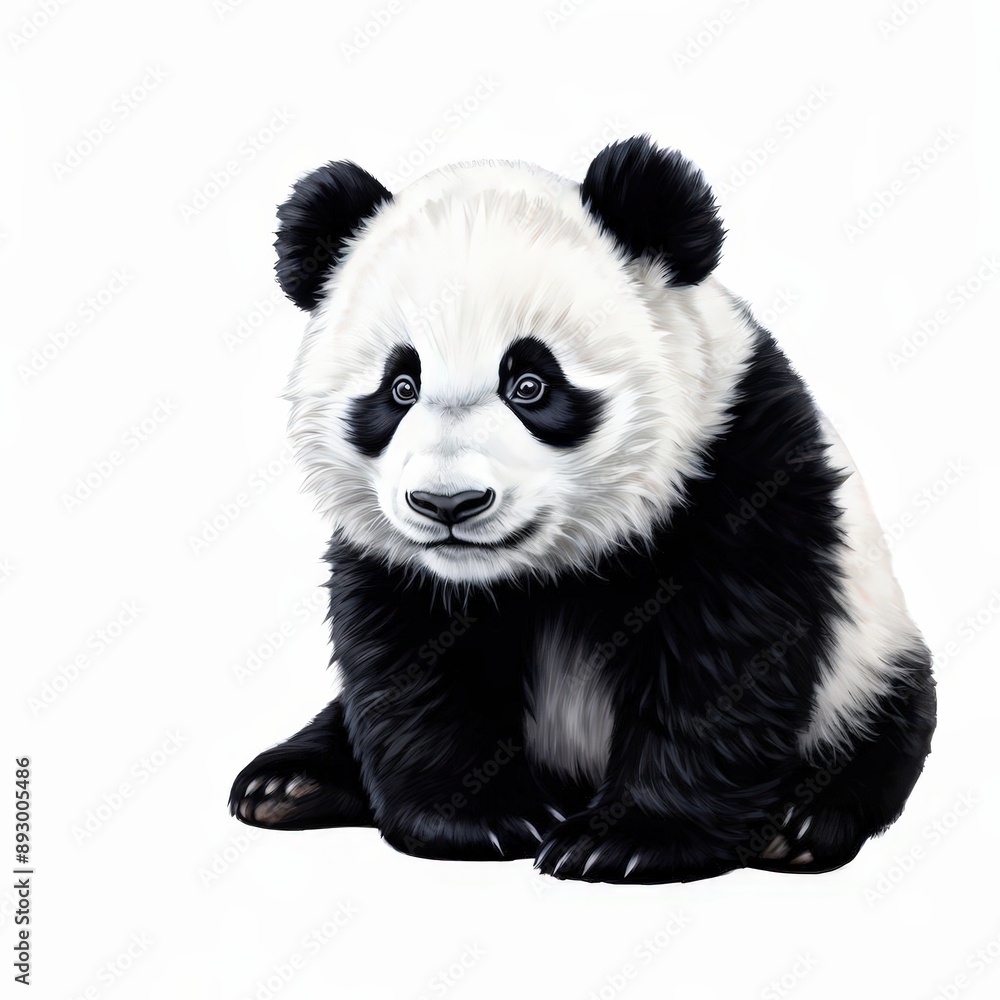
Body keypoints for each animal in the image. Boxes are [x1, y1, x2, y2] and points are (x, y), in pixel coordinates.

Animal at [229, 135, 936, 884]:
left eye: (531, 384)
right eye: (400, 386)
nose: (449, 504)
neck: (555, 565)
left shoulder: (734, 469)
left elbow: (725, 659)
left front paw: (628, 839)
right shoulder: (398, 555)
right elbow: (411, 658)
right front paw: (482, 819)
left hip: (869, 658)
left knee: (885, 728)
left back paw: (805, 823)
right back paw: (289, 781)